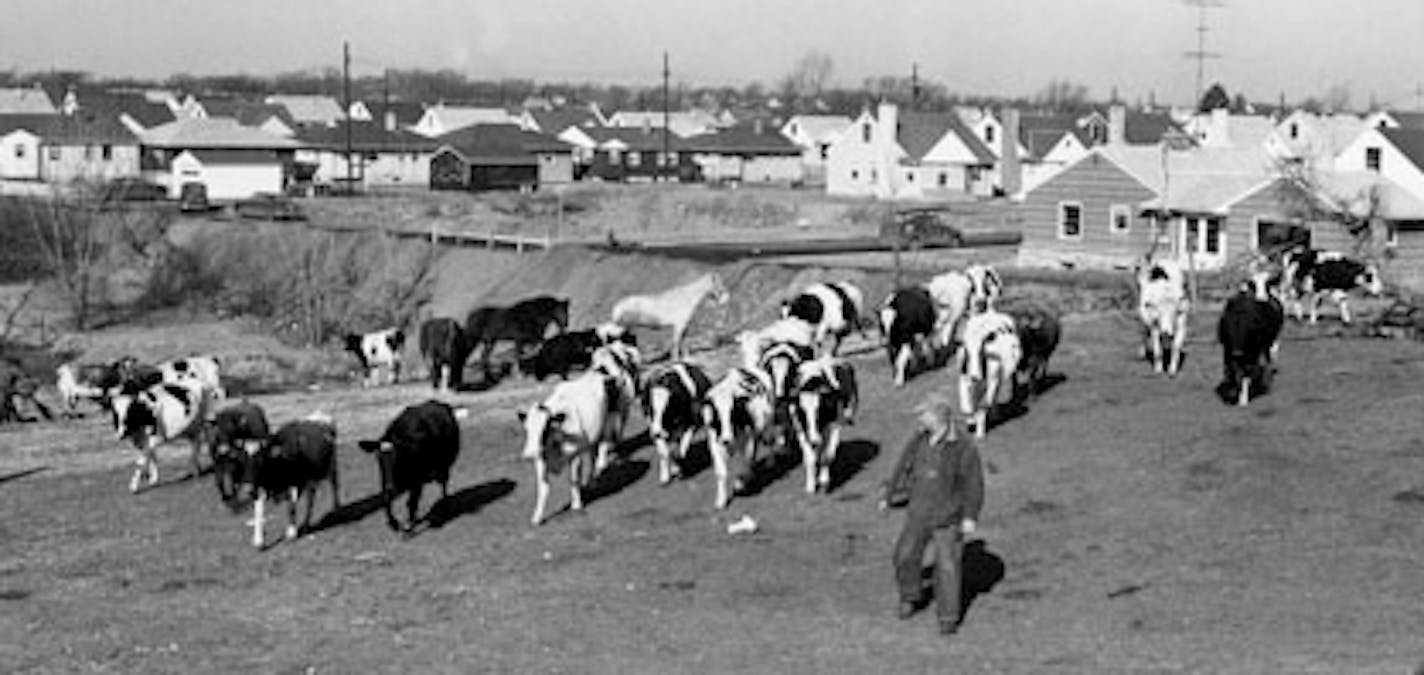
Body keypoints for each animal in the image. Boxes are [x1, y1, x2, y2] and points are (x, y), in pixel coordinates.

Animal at [247, 415, 341, 549]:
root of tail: (318, 417)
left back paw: (336, 510)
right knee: (311, 499)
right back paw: (306, 525)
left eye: (262, 457)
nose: (250, 488)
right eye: (245, 458)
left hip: (331, 466)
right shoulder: (261, 488)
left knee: (334, 486)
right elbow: (258, 512)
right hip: (309, 478)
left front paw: (291, 533)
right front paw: (259, 541)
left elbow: (291, 508)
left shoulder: (293, 484)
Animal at [356, 398, 461, 535]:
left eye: (399, 458)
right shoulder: (390, 482)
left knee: (443, 484)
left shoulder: (417, 479)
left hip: (444, 465)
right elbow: (386, 499)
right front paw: (394, 523)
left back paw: (443, 509)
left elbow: (411, 502)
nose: (390, 487)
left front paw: (409, 526)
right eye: (378, 458)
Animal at [791, 358, 854, 495]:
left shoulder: (834, 425)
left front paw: (824, 481)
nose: (814, 440)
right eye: (802, 413)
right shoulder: (800, 429)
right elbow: (810, 459)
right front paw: (810, 486)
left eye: (819, 410)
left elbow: (827, 455)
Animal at [1213, 270, 1292, 407]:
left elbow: (1247, 372)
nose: (1237, 353)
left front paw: (1243, 399)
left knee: (1266, 362)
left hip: (1266, 344)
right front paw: (1231, 392)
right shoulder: (1228, 349)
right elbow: (1231, 371)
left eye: (1269, 284)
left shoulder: (1254, 350)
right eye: (1252, 285)